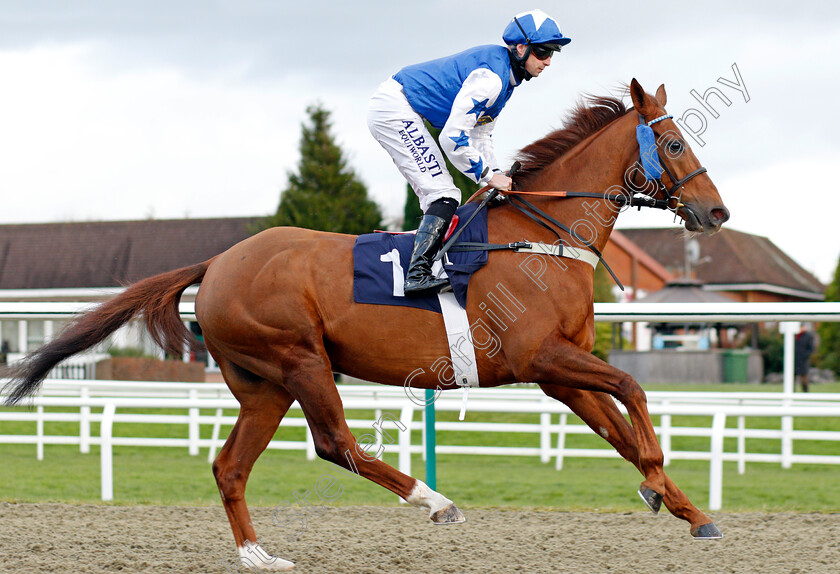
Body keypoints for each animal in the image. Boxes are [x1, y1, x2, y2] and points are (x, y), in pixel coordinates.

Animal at [3, 80, 728, 572]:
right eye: (672, 142)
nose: (716, 212)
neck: (542, 238)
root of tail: (219, 260)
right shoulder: (541, 358)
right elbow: (633, 391)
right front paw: (658, 482)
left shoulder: (560, 374)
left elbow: (621, 430)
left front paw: (688, 510)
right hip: (300, 358)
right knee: (335, 444)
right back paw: (433, 500)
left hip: (264, 384)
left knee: (230, 465)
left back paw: (257, 554)